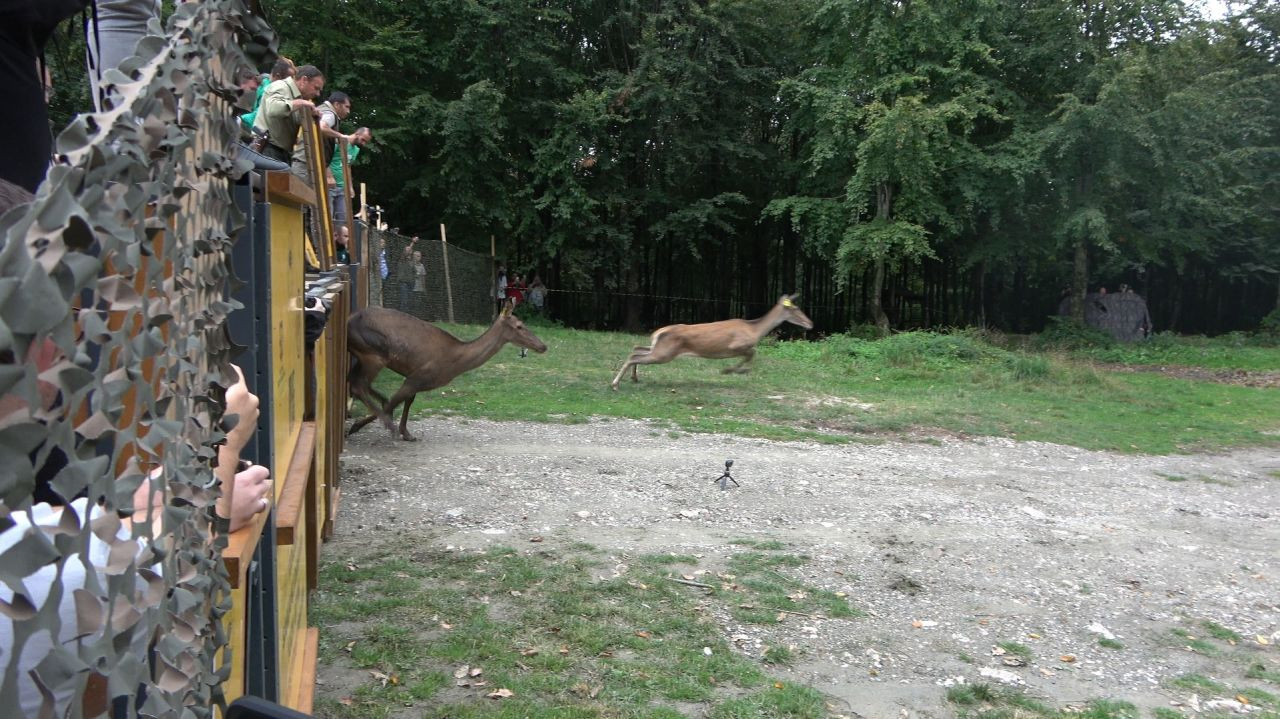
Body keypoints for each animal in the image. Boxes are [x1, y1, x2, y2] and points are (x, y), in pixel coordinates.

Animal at [345, 300, 545, 437]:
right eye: (519, 326)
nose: (543, 346)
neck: (454, 363)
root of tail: (348, 320)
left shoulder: (416, 377)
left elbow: (407, 401)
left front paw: (406, 433)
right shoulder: (418, 376)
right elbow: (396, 401)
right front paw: (365, 426)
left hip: (363, 355)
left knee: (353, 380)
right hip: (374, 354)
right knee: (358, 385)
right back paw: (383, 423)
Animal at [614, 294, 814, 388]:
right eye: (795, 309)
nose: (810, 323)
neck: (755, 330)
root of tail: (658, 332)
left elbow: (751, 355)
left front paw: (736, 370)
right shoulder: (736, 345)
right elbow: (752, 353)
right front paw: (731, 370)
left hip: (658, 348)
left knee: (636, 348)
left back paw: (634, 378)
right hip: (664, 353)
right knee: (634, 356)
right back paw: (615, 384)